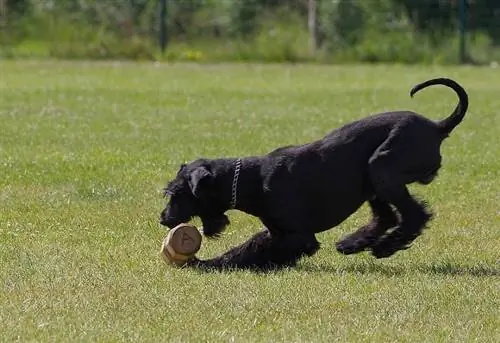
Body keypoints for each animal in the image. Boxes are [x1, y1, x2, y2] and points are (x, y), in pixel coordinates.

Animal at [160, 78, 468, 272]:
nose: (163, 219)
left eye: (176, 194)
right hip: (372, 181)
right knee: (387, 217)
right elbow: (250, 247)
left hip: (381, 168)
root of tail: (437, 127)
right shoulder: (276, 231)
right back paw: (352, 243)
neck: (251, 180)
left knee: (415, 214)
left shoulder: (298, 236)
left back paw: (385, 247)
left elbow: (254, 252)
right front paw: (208, 263)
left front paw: (209, 265)